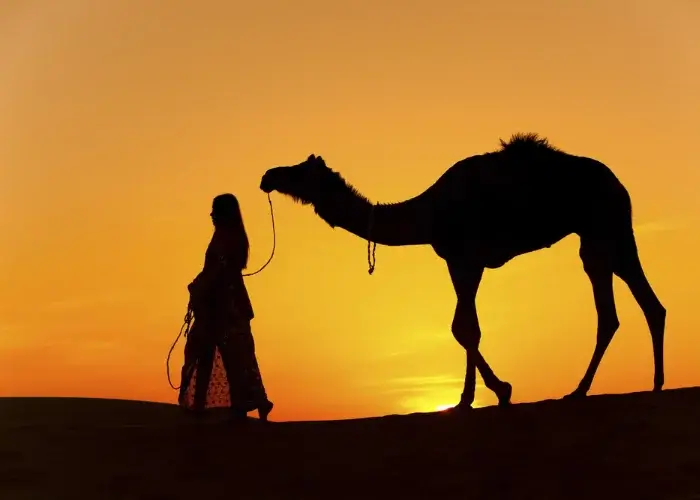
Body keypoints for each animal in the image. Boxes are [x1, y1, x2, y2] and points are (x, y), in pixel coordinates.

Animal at [258, 133, 668, 410]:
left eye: (299, 171)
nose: (268, 175)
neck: (427, 213)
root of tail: (618, 183)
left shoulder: (465, 259)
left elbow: (465, 328)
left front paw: (481, 395)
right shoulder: (457, 262)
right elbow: (463, 327)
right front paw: (488, 392)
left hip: (604, 226)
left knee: (620, 308)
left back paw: (588, 389)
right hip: (605, 235)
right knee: (637, 307)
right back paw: (646, 384)